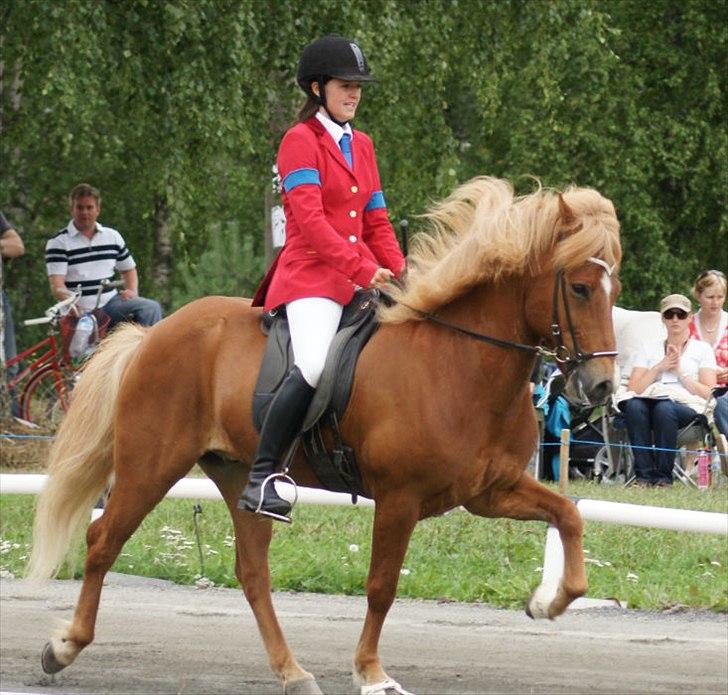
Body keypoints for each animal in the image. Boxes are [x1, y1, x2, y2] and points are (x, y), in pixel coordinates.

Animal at [28, 177, 620, 695]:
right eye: (579, 287)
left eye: (613, 287)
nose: (601, 385)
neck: (458, 362)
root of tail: (153, 334)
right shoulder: (400, 499)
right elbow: (382, 586)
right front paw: (372, 673)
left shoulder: (489, 491)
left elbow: (568, 515)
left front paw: (547, 602)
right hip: (151, 464)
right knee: (104, 541)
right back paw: (62, 648)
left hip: (239, 475)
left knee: (252, 573)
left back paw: (293, 673)